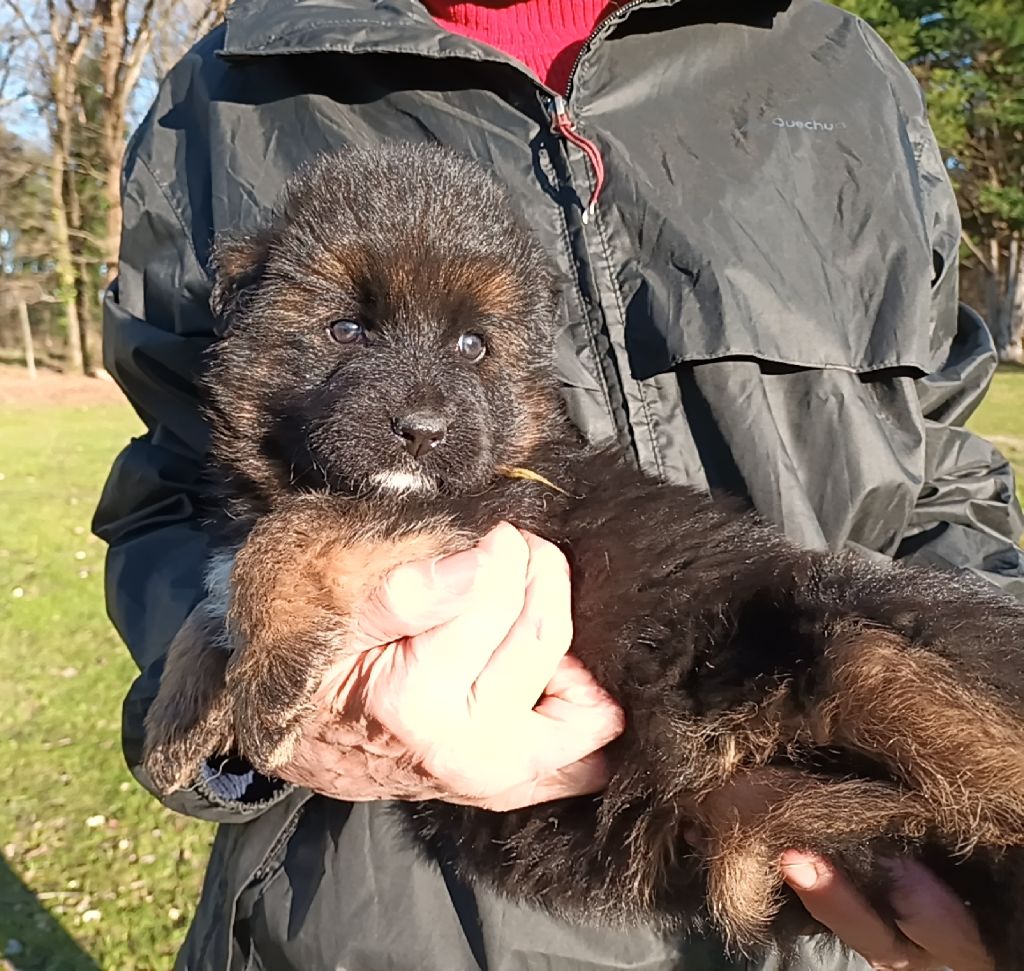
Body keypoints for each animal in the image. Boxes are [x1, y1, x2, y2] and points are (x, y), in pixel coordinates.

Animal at [142, 142, 1024, 962]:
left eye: (472, 345)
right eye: (346, 330)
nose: (422, 430)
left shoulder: (485, 505)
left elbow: (287, 536)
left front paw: (265, 678)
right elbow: (211, 596)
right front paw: (173, 724)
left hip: (866, 655)